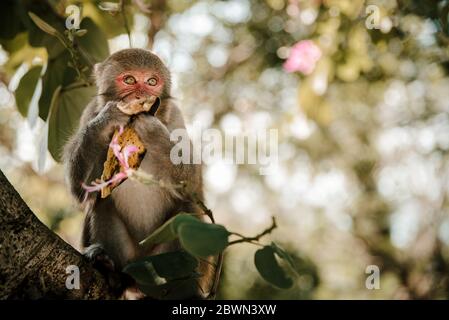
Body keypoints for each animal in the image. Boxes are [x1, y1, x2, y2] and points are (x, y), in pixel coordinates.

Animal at [64, 48, 220, 298]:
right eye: (129, 80)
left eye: (151, 82)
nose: (141, 95)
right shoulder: (89, 113)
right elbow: (82, 190)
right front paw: (108, 119)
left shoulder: (175, 117)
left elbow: (191, 184)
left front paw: (153, 131)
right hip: (131, 260)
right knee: (102, 203)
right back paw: (111, 271)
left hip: (161, 260)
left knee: (187, 210)